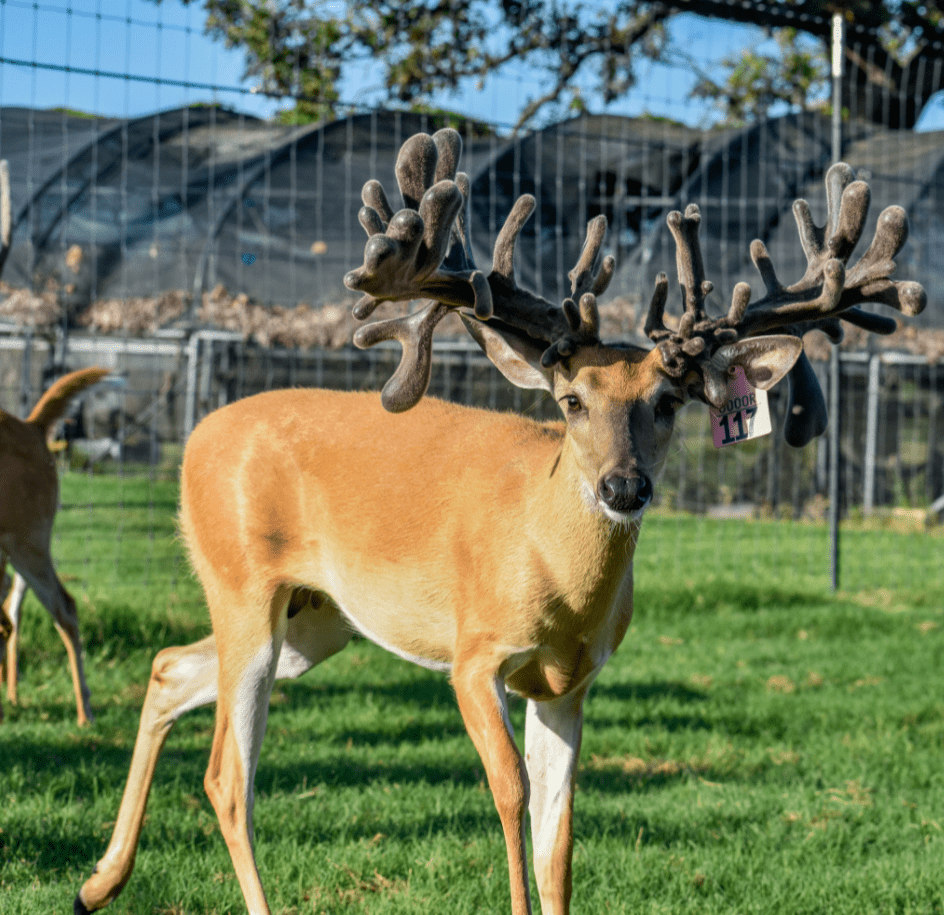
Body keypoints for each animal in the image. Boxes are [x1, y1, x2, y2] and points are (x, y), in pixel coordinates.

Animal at [75, 129, 925, 915]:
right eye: (571, 400)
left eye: (668, 400)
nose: (624, 485)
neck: (555, 573)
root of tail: (196, 437)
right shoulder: (474, 652)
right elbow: (511, 794)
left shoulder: (570, 681)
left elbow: (560, 835)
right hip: (242, 580)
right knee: (228, 774)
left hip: (316, 617)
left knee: (170, 667)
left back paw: (97, 881)